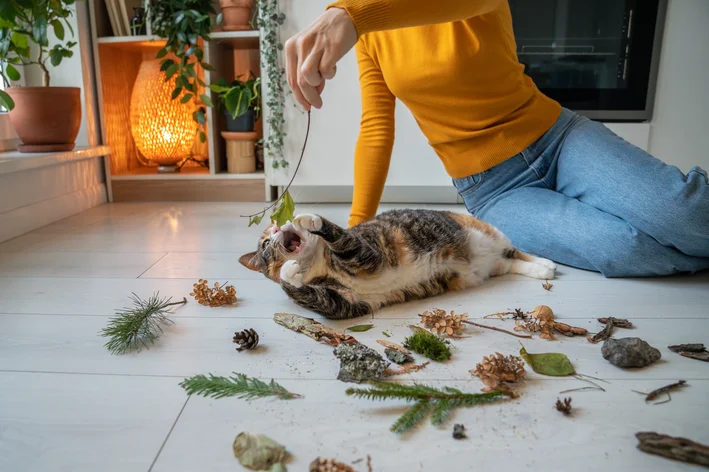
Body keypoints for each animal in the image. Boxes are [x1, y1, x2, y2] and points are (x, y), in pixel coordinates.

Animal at [241, 210, 556, 320]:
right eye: (265, 244)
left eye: (279, 223)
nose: (279, 227)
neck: (320, 265)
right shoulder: (349, 303)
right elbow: (320, 299)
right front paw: (288, 274)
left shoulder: (367, 252)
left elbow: (342, 238)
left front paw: (310, 220)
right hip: (492, 265)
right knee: (510, 262)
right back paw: (540, 269)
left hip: (488, 233)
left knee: (515, 250)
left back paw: (546, 264)